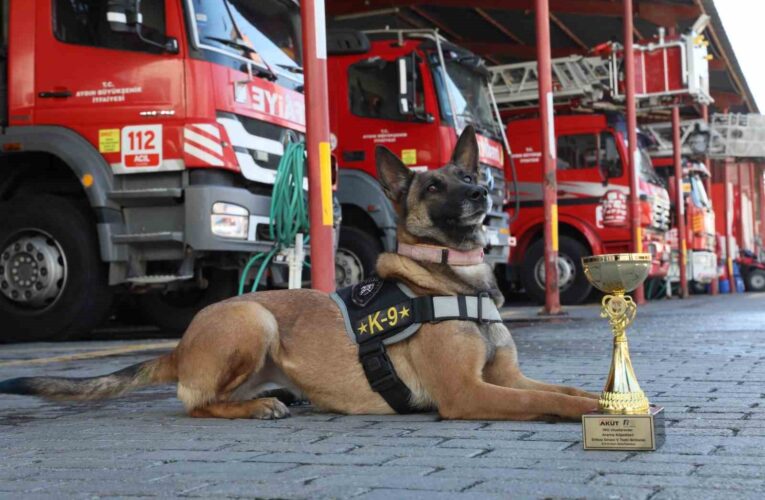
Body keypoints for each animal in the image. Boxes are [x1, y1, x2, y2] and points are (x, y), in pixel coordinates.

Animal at [0, 127, 596, 420]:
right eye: (433, 187)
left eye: (469, 176)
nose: (480, 194)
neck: (451, 282)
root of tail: (181, 346)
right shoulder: (469, 394)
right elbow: (545, 401)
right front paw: (587, 411)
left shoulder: (506, 377)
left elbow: (566, 387)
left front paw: (603, 401)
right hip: (254, 318)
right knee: (195, 403)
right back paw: (260, 406)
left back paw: (279, 396)